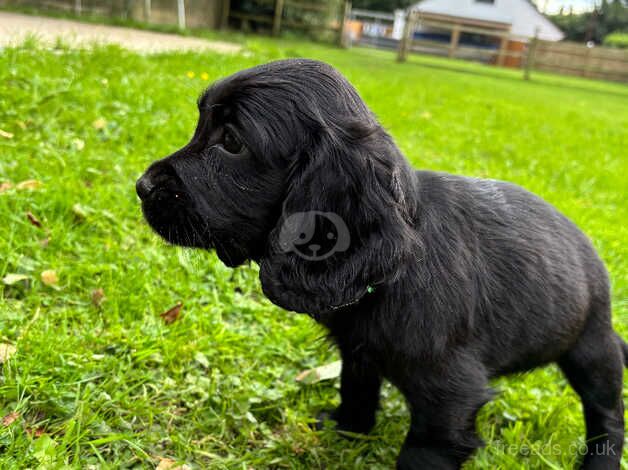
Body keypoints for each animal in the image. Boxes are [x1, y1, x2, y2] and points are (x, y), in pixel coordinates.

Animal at [136, 59, 624, 470]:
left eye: (232, 142)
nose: (141, 186)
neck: (397, 274)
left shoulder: (451, 398)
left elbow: (423, 452)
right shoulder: (358, 351)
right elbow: (355, 389)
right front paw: (347, 429)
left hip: (592, 349)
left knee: (608, 415)